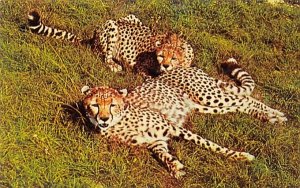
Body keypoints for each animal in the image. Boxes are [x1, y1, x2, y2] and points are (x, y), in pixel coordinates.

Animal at [27, 10, 193, 75]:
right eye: (160, 55)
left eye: (173, 57)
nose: (165, 65)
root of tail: (93, 37)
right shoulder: (139, 65)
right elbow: (147, 74)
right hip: (111, 25)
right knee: (105, 57)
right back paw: (114, 65)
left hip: (132, 17)